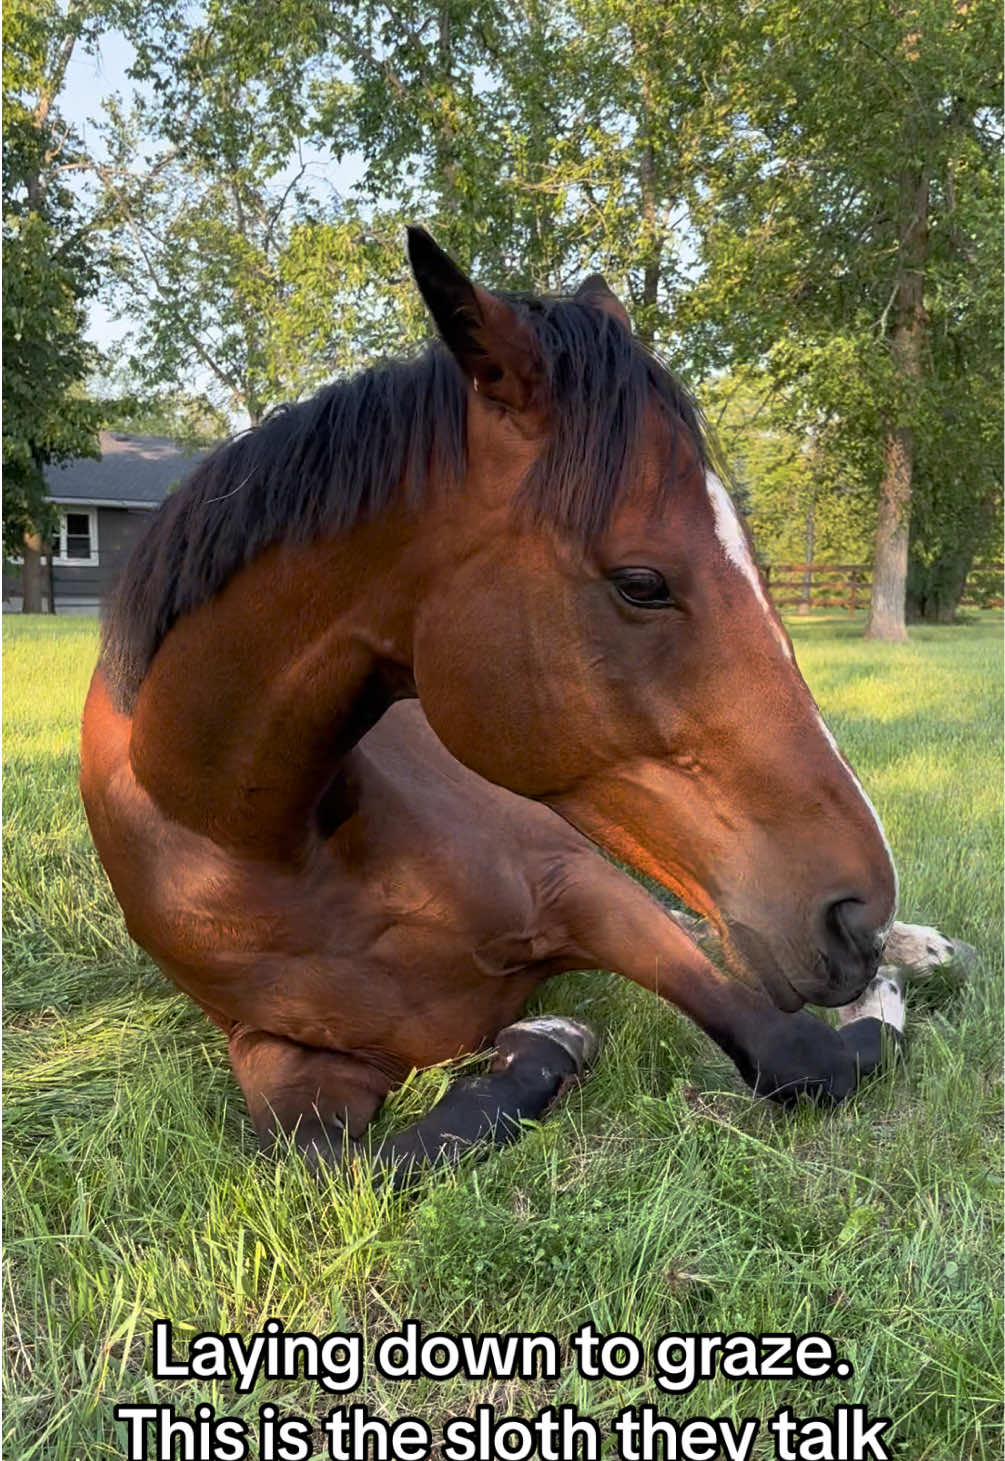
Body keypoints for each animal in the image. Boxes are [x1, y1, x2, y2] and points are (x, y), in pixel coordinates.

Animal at [80, 227, 903, 1184]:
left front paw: (880, 1001)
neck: (245, 841)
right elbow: (338, 1160)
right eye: (641, 582)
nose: (860, 914)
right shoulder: (273, 1054)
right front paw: (543, 1039)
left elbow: (797, 1053)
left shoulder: (579, 884)